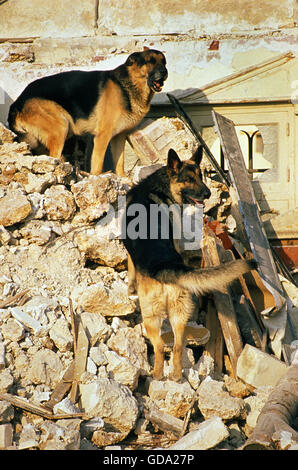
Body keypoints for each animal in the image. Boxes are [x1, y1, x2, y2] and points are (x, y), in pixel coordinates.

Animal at [8, 48, 168, 176]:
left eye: (164, 62)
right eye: (151, 61)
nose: (165, 72)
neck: (127, 85)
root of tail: (17, 102)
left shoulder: (119, 137)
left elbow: (120, 162)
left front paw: (124, 180)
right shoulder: (102, 136)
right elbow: (98, 163)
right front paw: (97, 179)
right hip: (61, 126)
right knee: (54, 158)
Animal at [122, 147, 258, 382]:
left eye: (200, 177)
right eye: (189, 179)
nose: (208, 194)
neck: (162, 186)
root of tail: (167, 267)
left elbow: (131, 270)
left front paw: (130, 289)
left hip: (150, 317)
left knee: (160, 346)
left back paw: (157, 374)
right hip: (179, 314)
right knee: (177, 346)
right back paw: (176, 375)